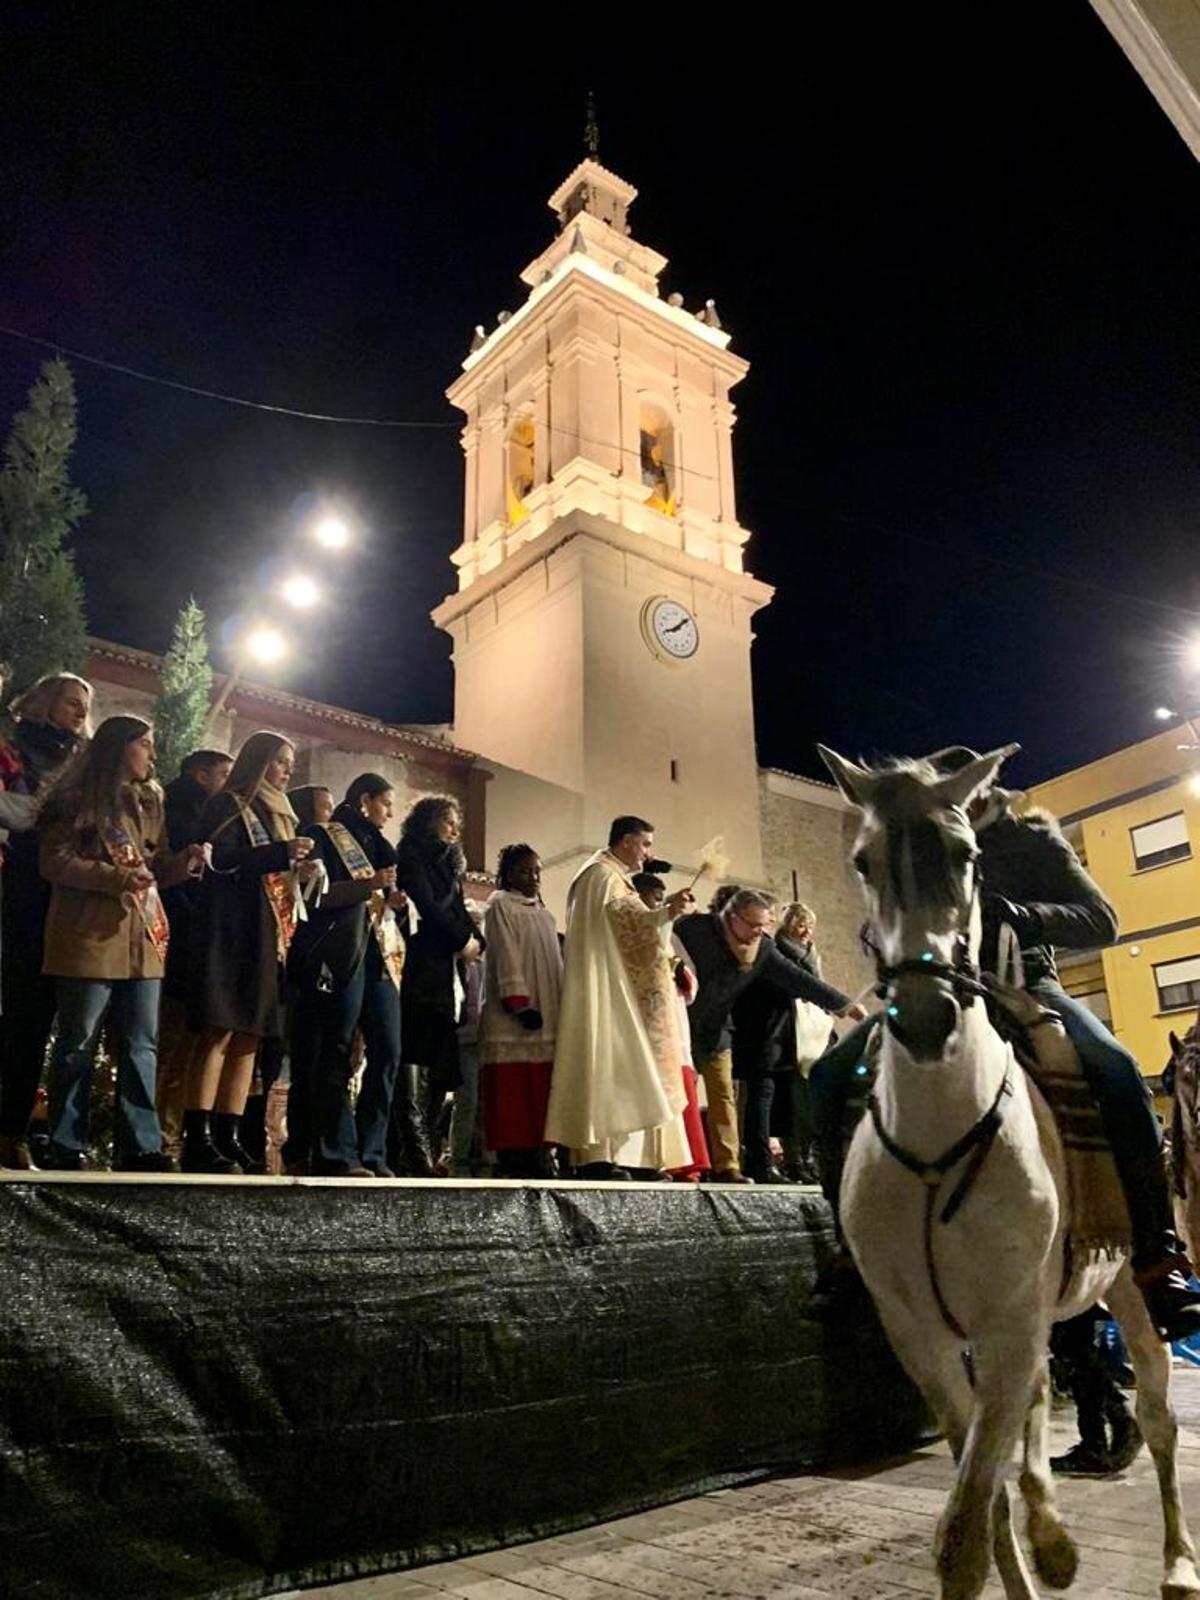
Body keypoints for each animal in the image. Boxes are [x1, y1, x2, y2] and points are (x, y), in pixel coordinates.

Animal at [825, 748, 1200, 1600]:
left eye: (965, 855)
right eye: (862, 860)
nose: (925, 1015)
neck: (939, 1140)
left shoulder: (1007, 1324)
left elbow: (967, 1525)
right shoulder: (926, 1340)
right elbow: (983, 1496)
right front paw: (1040, 1542)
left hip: (1133, 1296)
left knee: (1159, 1420)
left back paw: (1176, 1565)